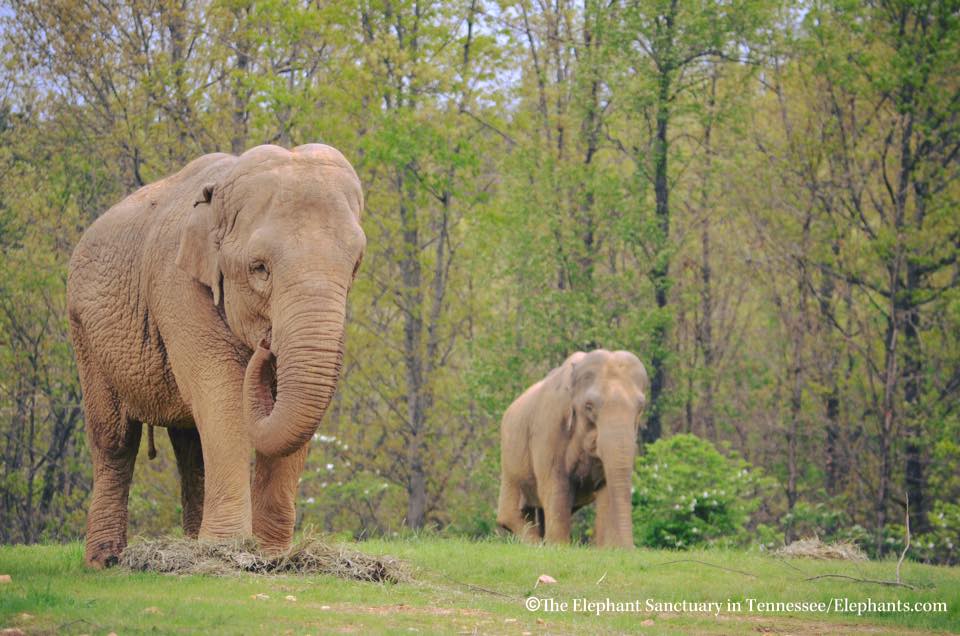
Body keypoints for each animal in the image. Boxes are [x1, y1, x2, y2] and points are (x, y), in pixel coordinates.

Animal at [67, 144, 365, 568]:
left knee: (191, 449)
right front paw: (232, 552)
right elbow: (222, 395)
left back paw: (195, 548)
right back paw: (106, 561)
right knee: (114, 439)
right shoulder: (176, 286)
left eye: (355, 266)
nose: (266, 345)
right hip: (85, 333)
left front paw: (270, 558)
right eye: (259, 268)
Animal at [497, 350, 649, 548]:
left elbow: (607, 488)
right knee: (512, 513)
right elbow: (556, 486)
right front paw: (559, 547)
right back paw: (537, 544)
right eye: (589, 406)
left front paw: (606, 549)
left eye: (641, 407)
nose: (631, 549)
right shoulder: (548, 429)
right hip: (509, 459)